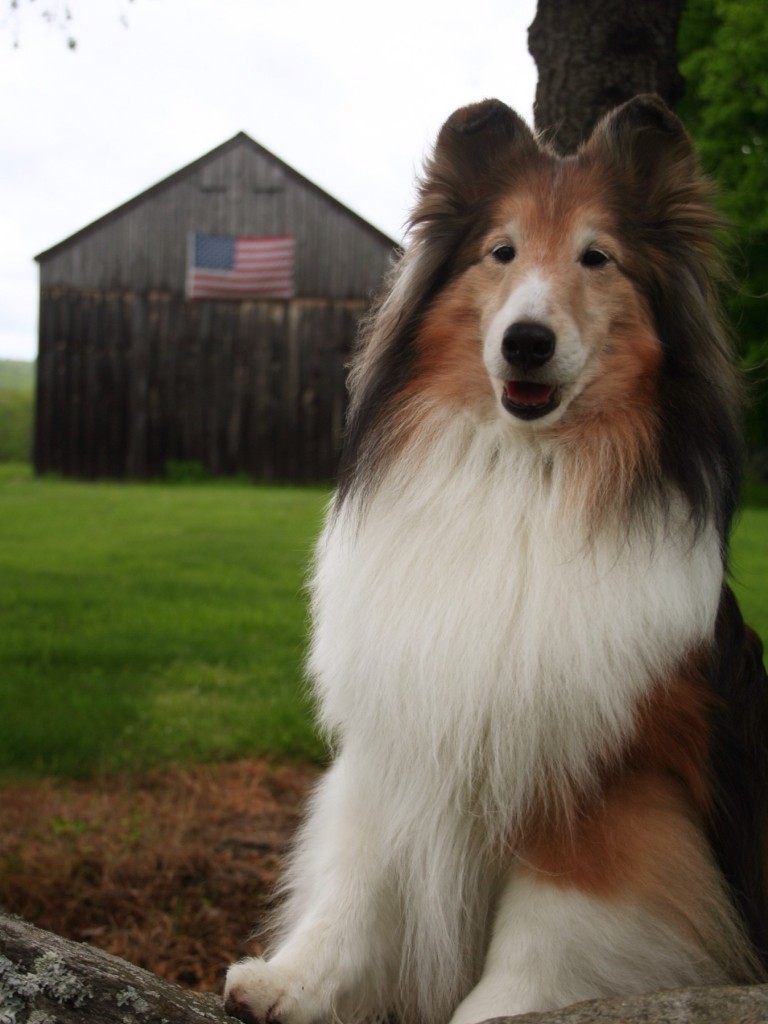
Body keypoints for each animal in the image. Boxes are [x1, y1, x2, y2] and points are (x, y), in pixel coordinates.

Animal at [227, 96, 768, 1024]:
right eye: (501, 252)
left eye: (597, 257)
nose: (526, 343)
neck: (520, 474)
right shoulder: (407, 726)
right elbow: (359, 879)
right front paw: (296, 981)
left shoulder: (617, 788)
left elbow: (546, 937)